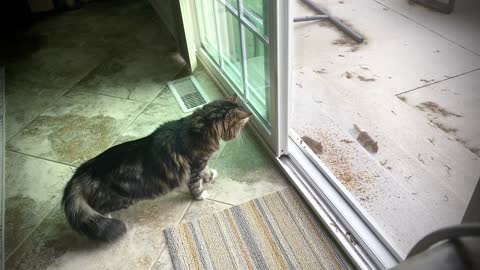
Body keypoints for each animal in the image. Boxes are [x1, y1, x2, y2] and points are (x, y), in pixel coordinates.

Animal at [62, 95, 253, 243]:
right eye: (241, 126)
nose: (242, 134)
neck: (201, 127)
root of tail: (85, 168)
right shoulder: (195, 166)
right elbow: (196, 185)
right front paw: (201, 195)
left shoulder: (201, 163)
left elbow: (206, 171)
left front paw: (211, 174)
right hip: (122, 198)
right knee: (99, 208)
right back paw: (106, 217)